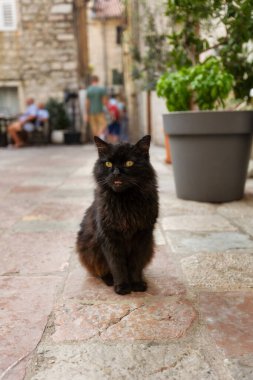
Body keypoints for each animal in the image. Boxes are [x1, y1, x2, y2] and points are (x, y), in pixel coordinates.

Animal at [76, 135, 158, 296]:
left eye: (129, 163)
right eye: (108, 163)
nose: (116, 173)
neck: (124, 201)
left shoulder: (143, 235)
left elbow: (135, 264)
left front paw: (137, 284)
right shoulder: (109, 237)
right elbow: (117, 265)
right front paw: (122, 286)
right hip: (89, 248)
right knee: (101, 270)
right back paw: (110, 281)